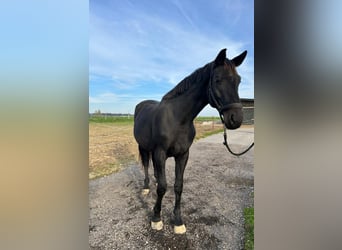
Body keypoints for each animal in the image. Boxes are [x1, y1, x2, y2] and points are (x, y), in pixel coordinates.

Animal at [132, 48, 247, 234]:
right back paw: (146, 187)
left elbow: (178, 186)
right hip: (143, 147)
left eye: (238, 81)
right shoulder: (160, 152)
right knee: (147, 166)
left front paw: (178, 221)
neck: (178, 118)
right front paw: (156, 218)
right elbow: (163, 187)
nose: (235, 119)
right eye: (217, 79)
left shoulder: (183, 154)